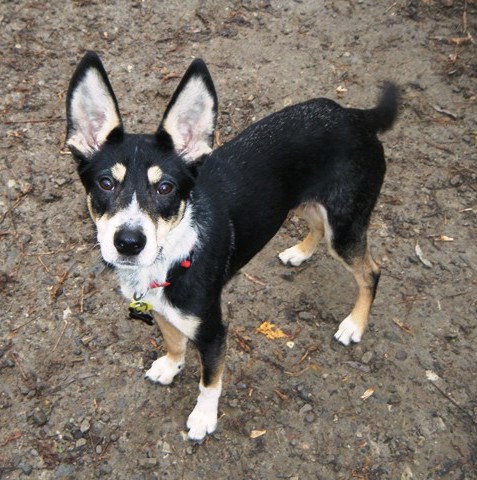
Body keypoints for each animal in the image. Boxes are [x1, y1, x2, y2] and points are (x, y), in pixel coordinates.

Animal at [64, 53, 398, 442]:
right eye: (105, 183)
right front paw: (170, 366)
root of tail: (354, 115)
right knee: (316, 225)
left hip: (344, 226)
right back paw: (299, 252)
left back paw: (354, 325)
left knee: (371, 271)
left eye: (165, 188)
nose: (129, 242)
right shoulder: (161, 309)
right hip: (303, 203)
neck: (172, 255)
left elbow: (210, 381)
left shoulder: (213, 331)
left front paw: (203, 418)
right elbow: (173, 341)